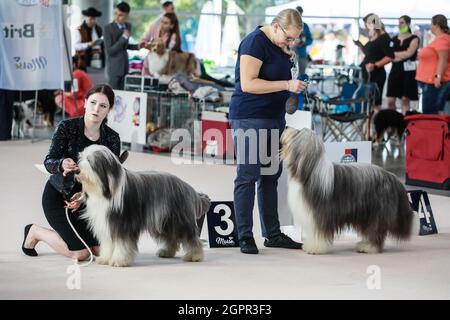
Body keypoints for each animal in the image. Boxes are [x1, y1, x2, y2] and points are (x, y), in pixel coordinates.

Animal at [75, 145, 211, 268]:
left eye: (89, 160)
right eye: (81, 157)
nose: (76, 171)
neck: (106, 189)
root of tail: (187, 187)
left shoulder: (123, 224)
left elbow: (122, 244)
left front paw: (119, 260)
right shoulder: (107, 223)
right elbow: (108, 243)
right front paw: (104, 258)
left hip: (179, 220)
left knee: (191, 238)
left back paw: (195, 255)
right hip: (165, 221)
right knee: (171, 238)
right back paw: (167, 252)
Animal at [282, 127, 418, 255]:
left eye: (298, 132)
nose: (286, 126)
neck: (309, 172)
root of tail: (392, 177)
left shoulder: (320, 213)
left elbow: (319, 232)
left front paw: (316, 248)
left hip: (376, 212)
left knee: (375, 231)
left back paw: (369, 247)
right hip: (366, 213)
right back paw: (364, 244)